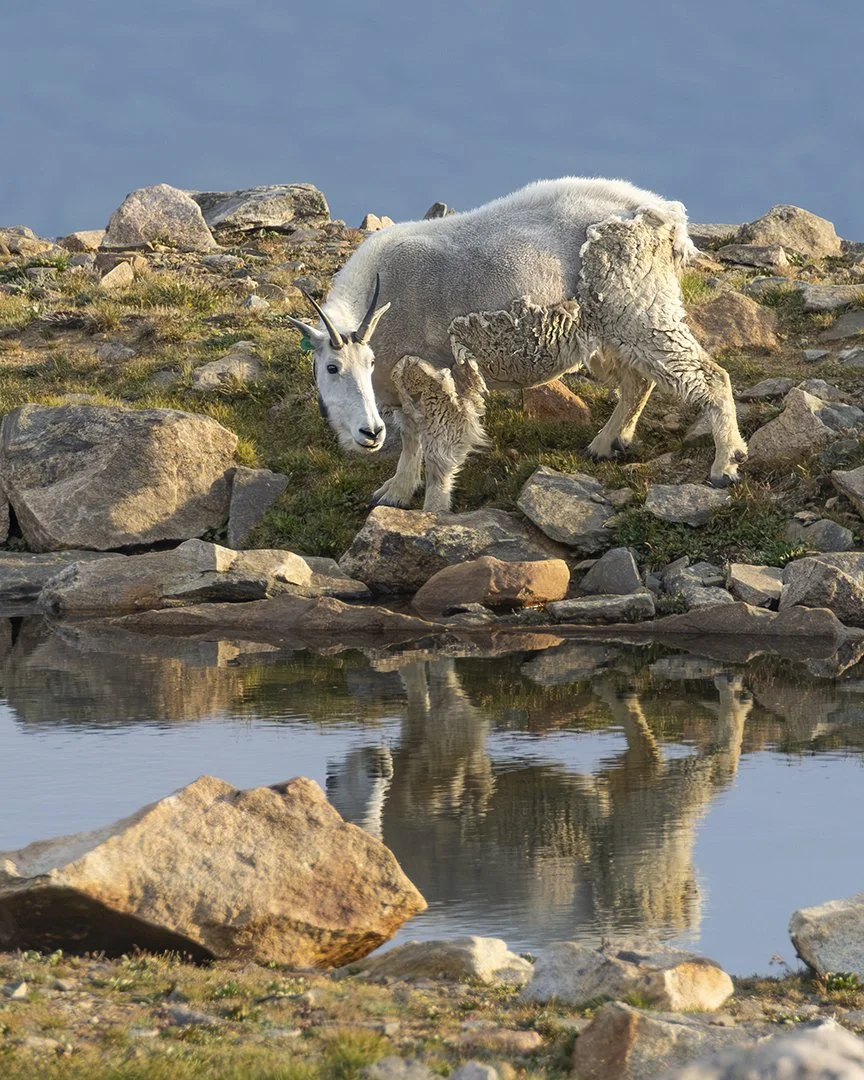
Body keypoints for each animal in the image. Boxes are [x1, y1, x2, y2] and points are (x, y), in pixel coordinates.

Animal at [286, 177, 747, 512]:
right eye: (332, 368)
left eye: (366, 362)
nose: (370, 433)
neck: (379, 300)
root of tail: (661, 214)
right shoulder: (405, 386)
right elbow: (413, 438)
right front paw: (395, 492)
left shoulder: (437, 373)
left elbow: (441, 448)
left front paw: (432, 510)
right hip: (608, 328)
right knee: (638, 382)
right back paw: (605, 444)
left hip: (641, 307)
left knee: (708, 375)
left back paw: (725, 464)